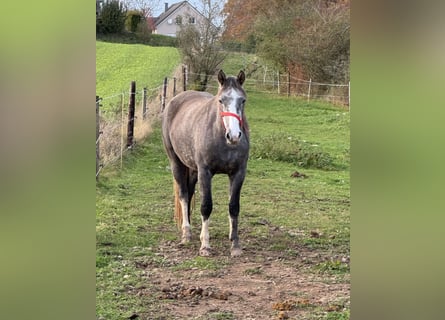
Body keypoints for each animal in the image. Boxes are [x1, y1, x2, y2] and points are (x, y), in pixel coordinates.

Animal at [160, 70, 250, 258]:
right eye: (221, 100)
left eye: (243, 100)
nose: (234, 135)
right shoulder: (205, 173)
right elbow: (206, 206)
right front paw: (205, 245)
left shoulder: (238, 173)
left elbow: (234, 207)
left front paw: (235, 244)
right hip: (177, 163)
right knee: (184, 195)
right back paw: (186, 233)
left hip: (193, 169)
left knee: (190, 192)